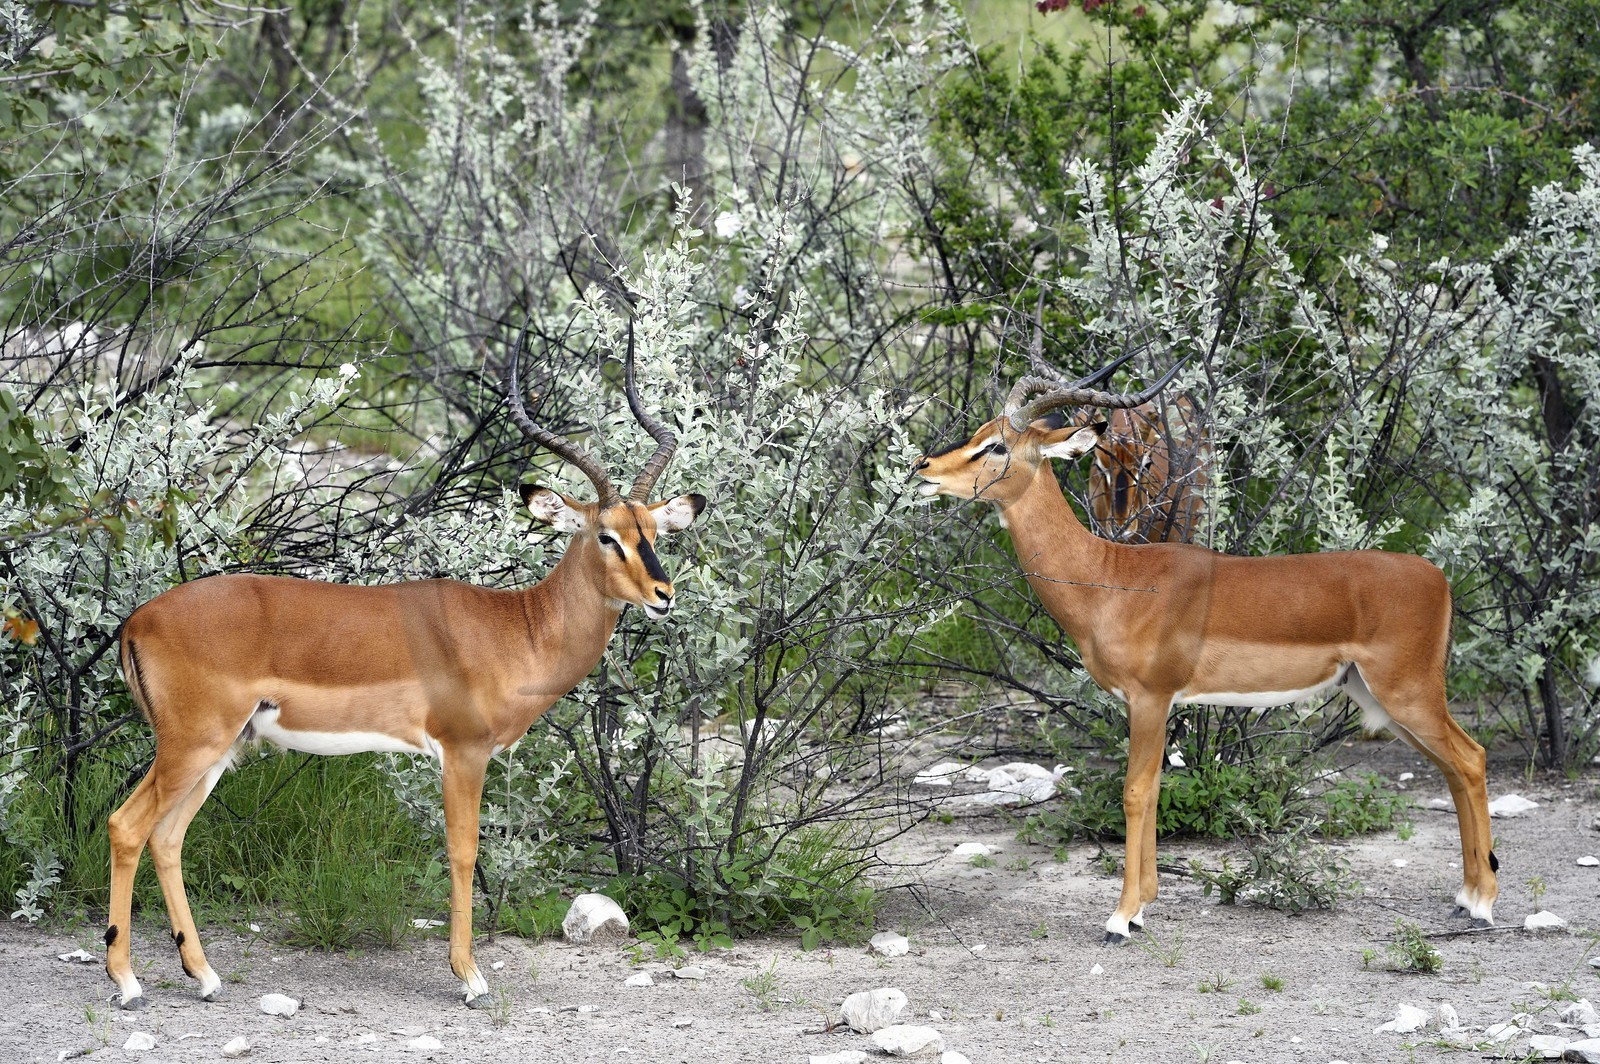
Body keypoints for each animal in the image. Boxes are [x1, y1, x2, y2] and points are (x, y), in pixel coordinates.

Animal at [105, 329, 705, 1009]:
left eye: (653, 529)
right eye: (607, 535)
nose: (663, 594)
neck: (513, 627)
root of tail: (135, 621)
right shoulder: (463, 751)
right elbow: (463, 850)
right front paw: (470, 977)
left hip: (218, 751)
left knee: (166, 837)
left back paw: (203, 976)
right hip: (191, 744)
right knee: (126, 826)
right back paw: (127, 982)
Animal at [914, 360, 1497, 943]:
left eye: (995, 445)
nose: (923, 468)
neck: (1110, 580)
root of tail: (1439, 577)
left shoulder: (1150, 698)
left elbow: (1134, 792)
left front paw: (1120, 918)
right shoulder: (1154, 705)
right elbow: (1153, 790)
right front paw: (1142, 906)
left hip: (1408, 694)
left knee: (1471, 759)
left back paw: (1483, 904)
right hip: (1383, 700)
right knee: (1453, 769)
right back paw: (1465, 897)